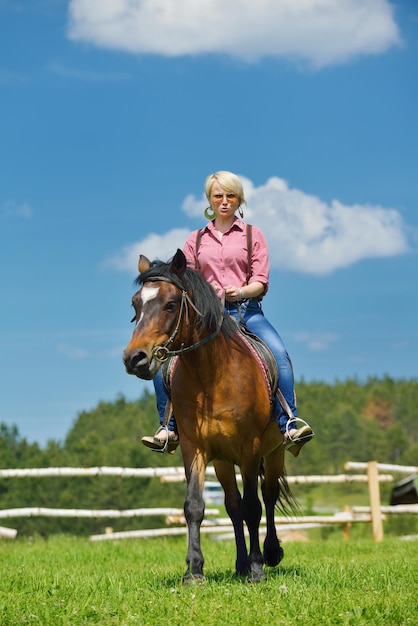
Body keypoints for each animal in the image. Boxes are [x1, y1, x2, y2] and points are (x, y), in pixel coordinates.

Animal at [123, 249, 294, 580]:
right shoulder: (195, 448)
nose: (134, 358)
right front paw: (194, 570)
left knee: (267, 495)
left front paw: (257, 569)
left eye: (170, 304)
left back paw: (270, 553)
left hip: (274, 450)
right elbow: (195, 506)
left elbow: (254, 506)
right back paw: (240, 564)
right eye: (136, 304)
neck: (211, 376)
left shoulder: (251, 447)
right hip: (224, 461)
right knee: (233, 505)